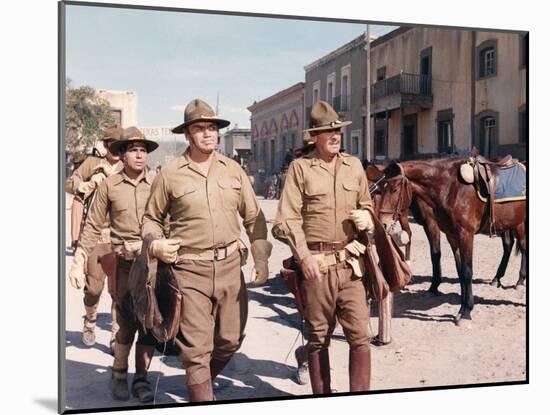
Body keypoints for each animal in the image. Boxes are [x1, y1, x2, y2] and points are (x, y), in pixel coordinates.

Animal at [380, 159, 528, 324]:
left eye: (394, 189)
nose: (383, 223)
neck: (451, 188)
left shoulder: (465, 234)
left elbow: (466, 271)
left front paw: (466, 312)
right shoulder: (452, 236)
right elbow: (460, 271)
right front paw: (462, 308)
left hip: (519, 224)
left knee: (522, 246)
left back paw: (519, 281)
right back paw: (500, 279)